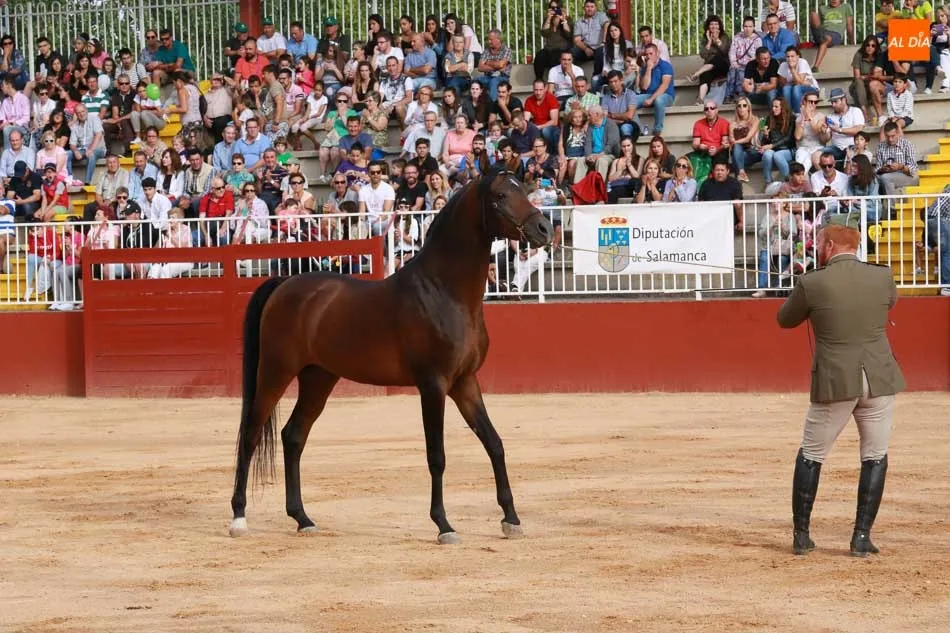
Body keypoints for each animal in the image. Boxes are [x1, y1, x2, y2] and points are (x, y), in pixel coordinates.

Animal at [229, 167, 554, 544]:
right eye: (501, 196)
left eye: (525, 190)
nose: (544, 229)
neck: (444, 292)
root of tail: (283, 284)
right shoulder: (433, 385)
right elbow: (436, 455)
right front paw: (444, 525)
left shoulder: (465, 383)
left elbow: (494, 443)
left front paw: (511, 520)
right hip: (275, 371)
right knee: (251, 435)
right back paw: (239, 518)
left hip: (318, 377)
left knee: (293, 436)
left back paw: (302, 518)